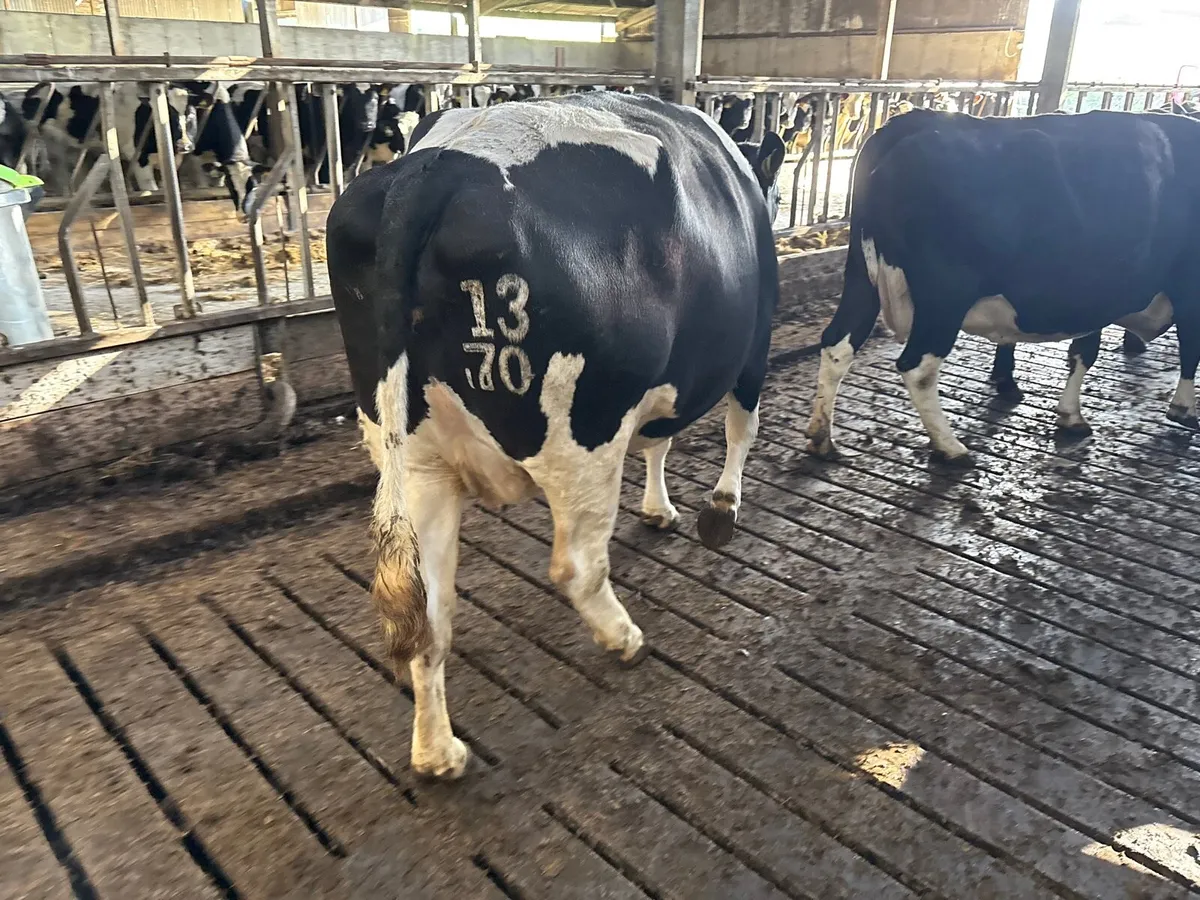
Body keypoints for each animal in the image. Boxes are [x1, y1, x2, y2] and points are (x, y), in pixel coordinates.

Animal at [326, 92, 785, 779]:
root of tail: (431, 170)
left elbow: (659, 440)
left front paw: (659, 508)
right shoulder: (751, 347)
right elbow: (739, 426)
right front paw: (720, 510)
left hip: (411, 457)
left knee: (429, 610)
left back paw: (437, 752)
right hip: (584, 436)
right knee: (576, 566)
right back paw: (624, 638)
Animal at [806, 107, 1200, 464]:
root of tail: (913, 122)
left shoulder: (1097, 294)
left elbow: (1083, 350)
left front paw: (1071, 415)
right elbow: (1191, 347)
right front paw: (1184, 408)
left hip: (861, 277)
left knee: (837, 344)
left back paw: (822, 437)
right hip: (945, 294)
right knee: (917, 367)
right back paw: (950, 447)